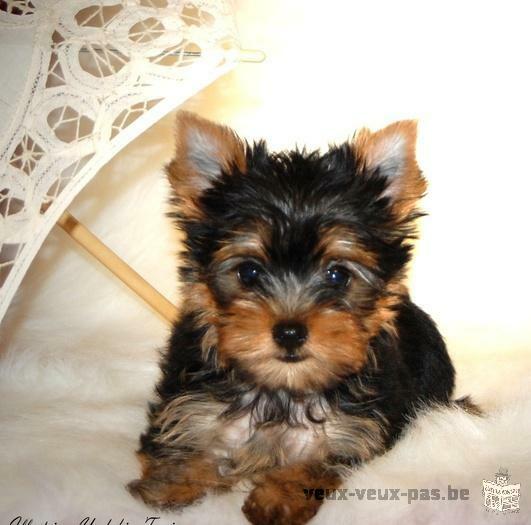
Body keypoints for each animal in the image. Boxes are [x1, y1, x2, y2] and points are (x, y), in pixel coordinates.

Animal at [128, 112, 458, 520]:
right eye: (249, 272)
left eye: (338, 275)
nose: (289, 332)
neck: (283, 390)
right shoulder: (191, 400)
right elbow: (184, 436)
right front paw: (171, 483)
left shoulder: (354, 432)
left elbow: (317, 463)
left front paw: (278, 500)